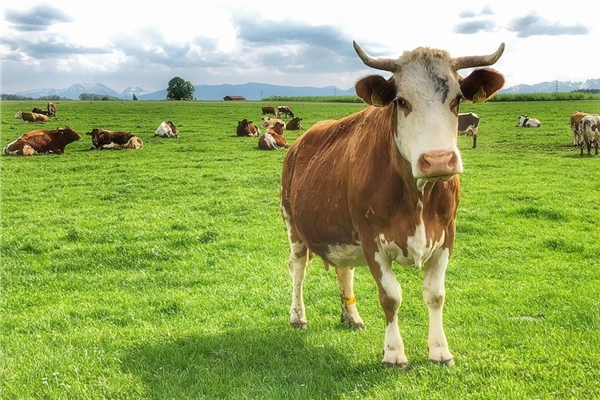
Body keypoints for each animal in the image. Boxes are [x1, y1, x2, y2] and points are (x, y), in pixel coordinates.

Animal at [278, 39, 504, 366]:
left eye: (457, 99)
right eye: (401, 101)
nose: (438, 160)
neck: (418, 197)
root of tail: (301, 140)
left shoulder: (447, 235)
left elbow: (435, 294)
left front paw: (440, 350)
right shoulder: (372, 239)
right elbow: (391, 296)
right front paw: (394, 353)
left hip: (341, 230)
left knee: (344, 270)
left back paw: (351, 315)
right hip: (293, 223)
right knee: (297, 267)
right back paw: (298, 317)